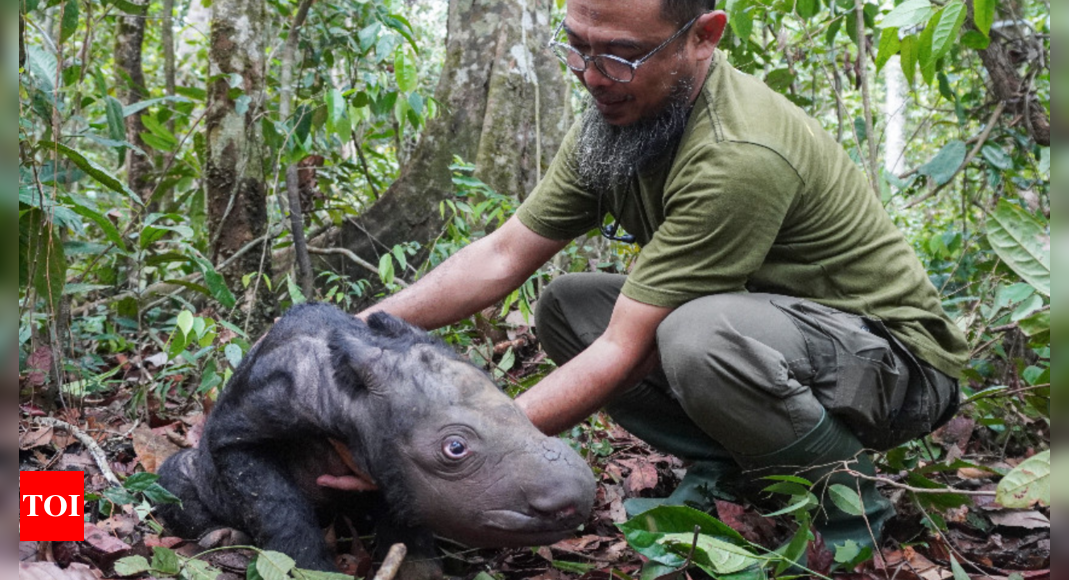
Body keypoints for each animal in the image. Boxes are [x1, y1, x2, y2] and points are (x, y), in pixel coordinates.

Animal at [158, 305, 598, 576]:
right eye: (455, 449)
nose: (577, 498)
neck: (347, 394)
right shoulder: (242, 426)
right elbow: (273, 502)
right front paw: (312, 569)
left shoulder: (390, 463)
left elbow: (403, 514)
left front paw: (420, 570)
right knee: (174, 478)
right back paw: (220, 538)